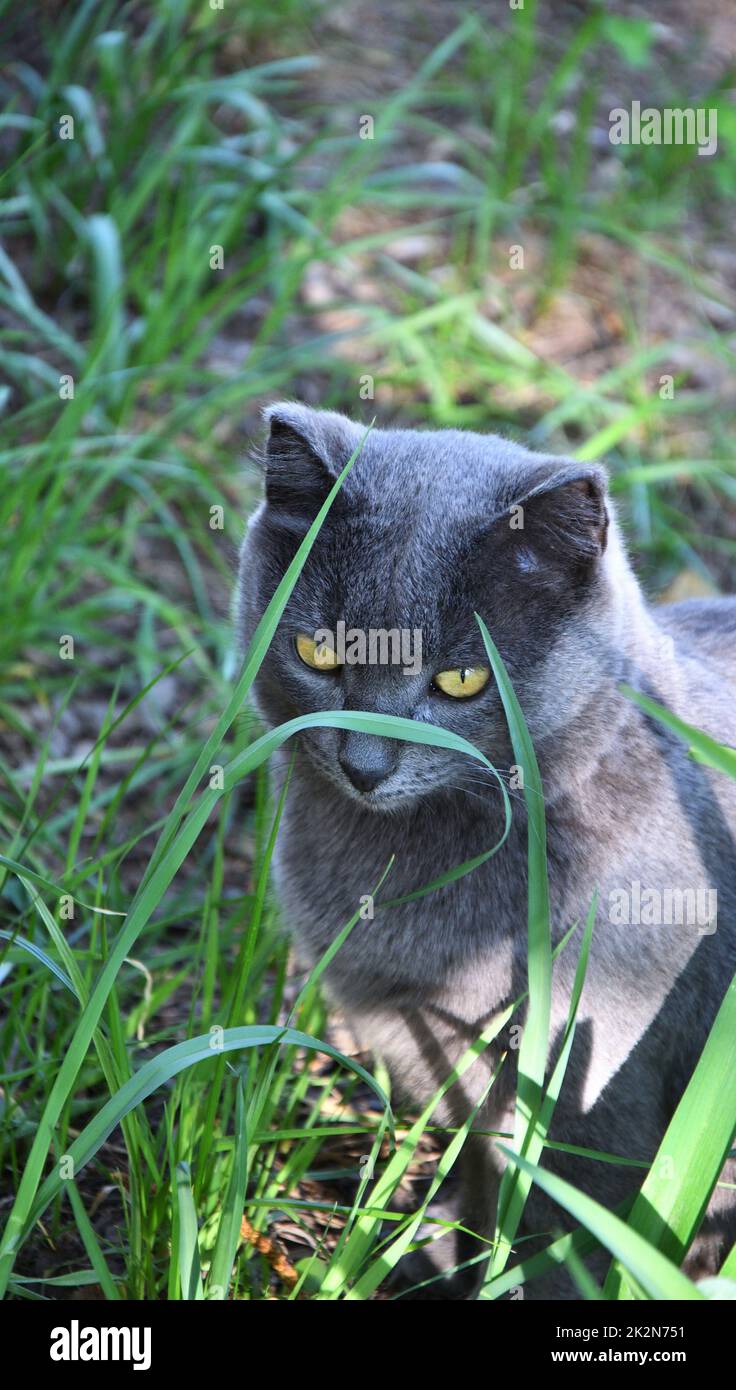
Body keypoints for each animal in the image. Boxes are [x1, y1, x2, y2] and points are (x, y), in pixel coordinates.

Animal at [235, 405, 734, 1301]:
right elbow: (479, 1169)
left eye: (463, 681)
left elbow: (568, 1237)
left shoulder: (592, 1096)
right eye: (321, 653)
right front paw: (442, 1254)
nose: (365, 764)